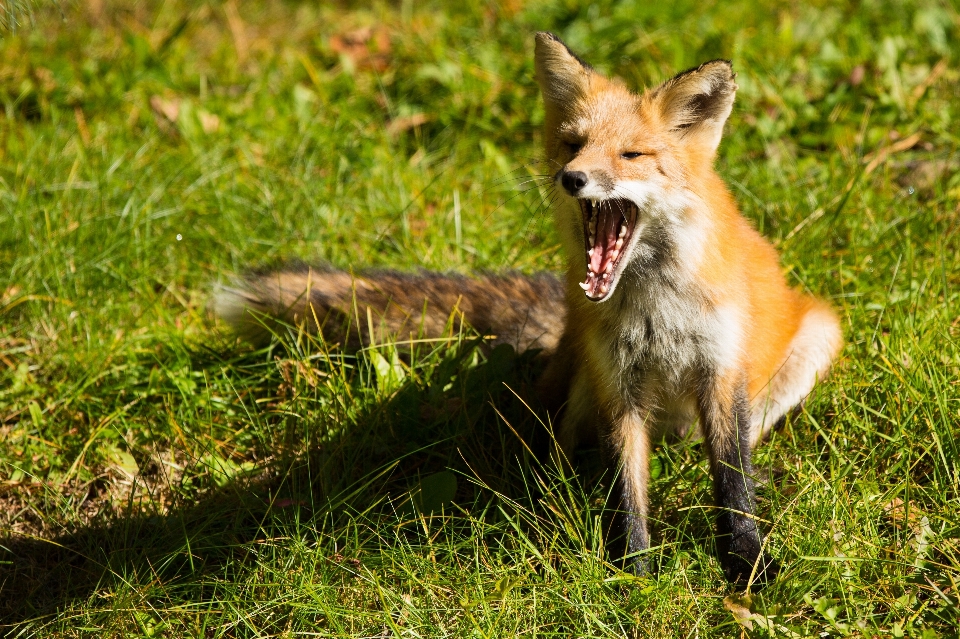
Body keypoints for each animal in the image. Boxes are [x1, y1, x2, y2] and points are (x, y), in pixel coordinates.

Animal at [218, 33, 840, 584]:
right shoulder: (618, 383)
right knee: (559, 453)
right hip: (581, 386)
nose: (572, 178)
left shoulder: (721, 372)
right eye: (572, 144)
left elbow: (733, 484)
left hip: (815, 342)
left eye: (632, 155)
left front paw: (748, 568)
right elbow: (626, 493)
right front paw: (633, 576)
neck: (656, 309)